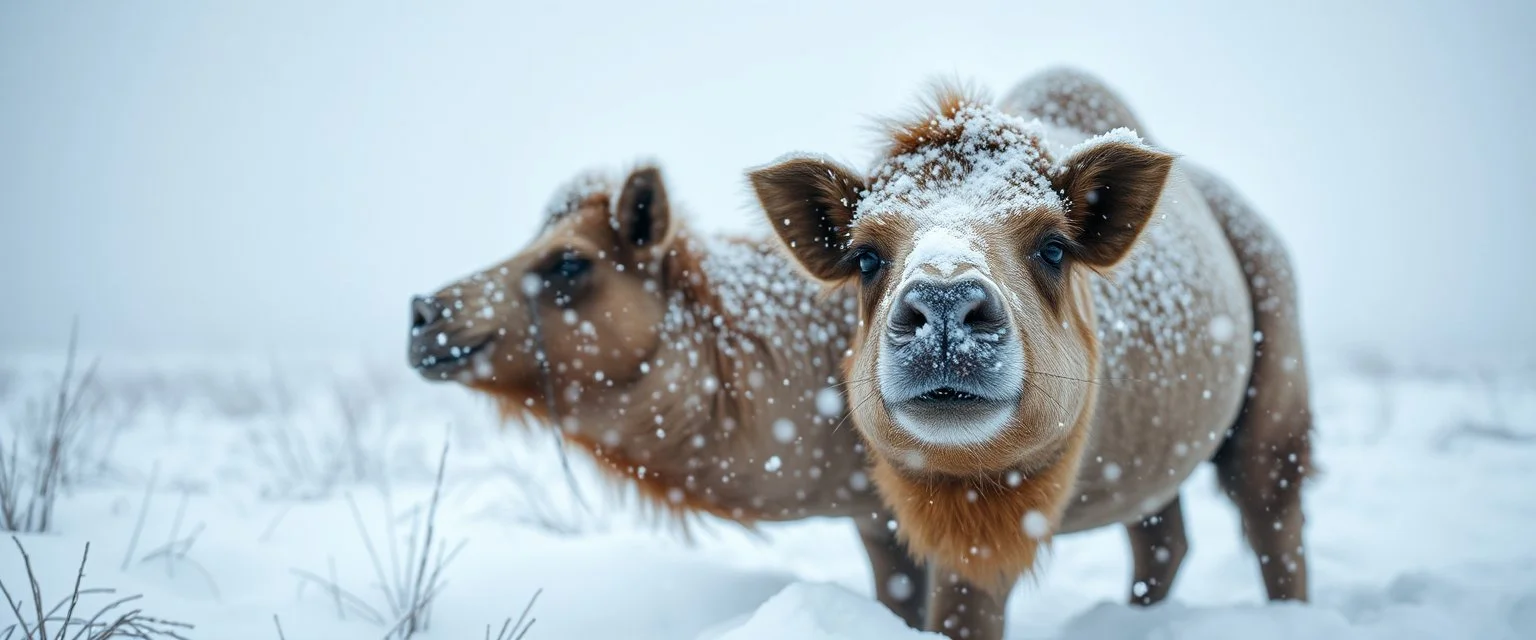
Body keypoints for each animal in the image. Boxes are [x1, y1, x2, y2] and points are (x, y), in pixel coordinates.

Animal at [749, 68, 1313, 639]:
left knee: (1272, 509)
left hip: (1279, 385)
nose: (945, 300)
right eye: (865, 257)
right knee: (1162, 534)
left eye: (1053, 247)